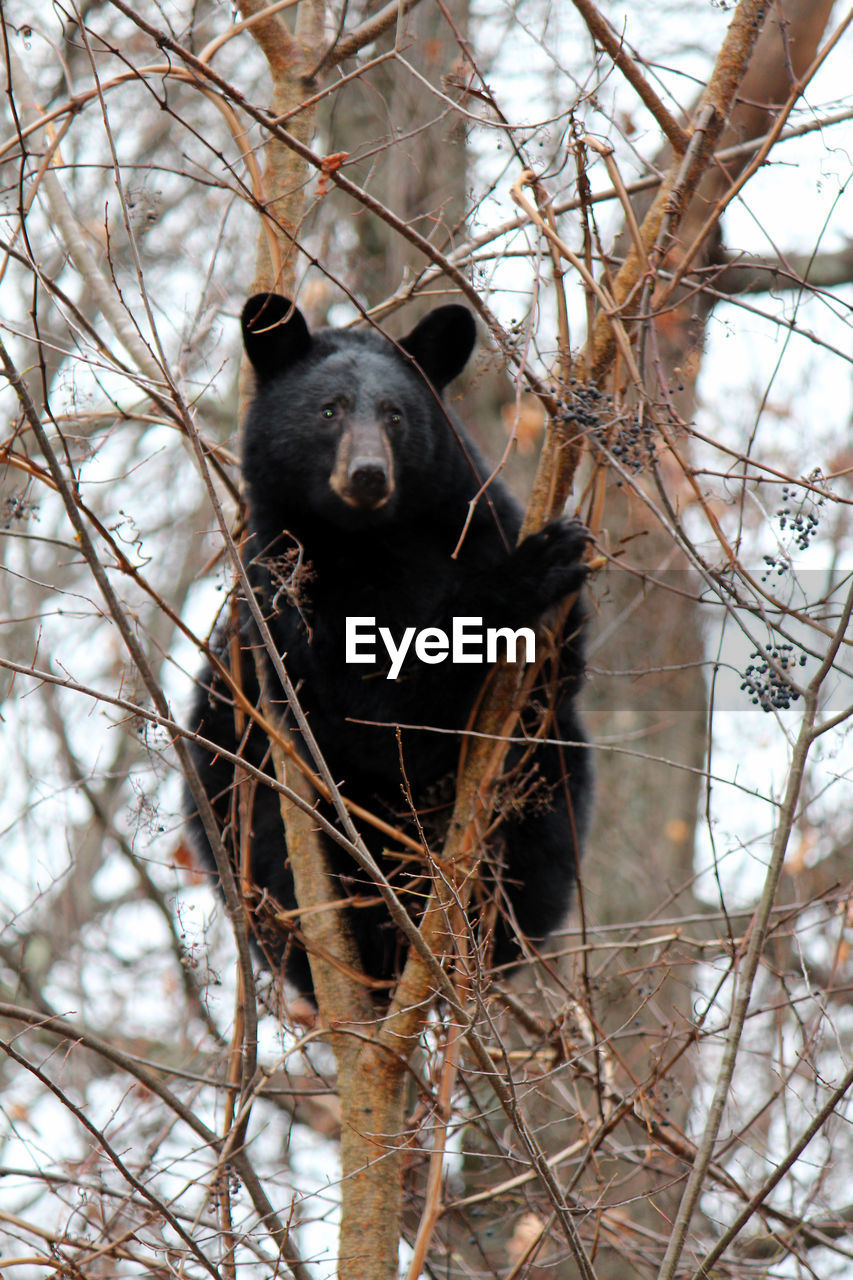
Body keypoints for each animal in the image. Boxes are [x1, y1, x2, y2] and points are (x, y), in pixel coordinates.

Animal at [183, 293, 589, 998]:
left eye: (396, 415)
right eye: (329, 410)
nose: (368, 475)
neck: (373, 541)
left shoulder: (470, 520)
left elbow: (557, 676)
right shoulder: (285, 601)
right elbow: (374, 718)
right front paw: (533, 569)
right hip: (235, 792)